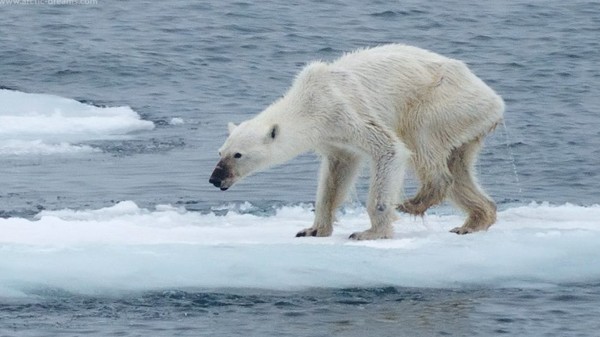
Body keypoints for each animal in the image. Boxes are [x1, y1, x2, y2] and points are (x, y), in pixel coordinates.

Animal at [209, 44, 504, 239]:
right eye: (220, 152)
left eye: (238, 155)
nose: (214, 178)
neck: (309, 102)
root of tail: (495, 100)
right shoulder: (332, 137)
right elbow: (336, 174)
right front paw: (313, 229)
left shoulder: (344, 111)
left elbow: (389, 149)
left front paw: (370, 232)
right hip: (466, 124)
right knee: (459, 168)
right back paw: (473, 221)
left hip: (444, 103)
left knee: (421, 138)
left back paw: (414, 202)